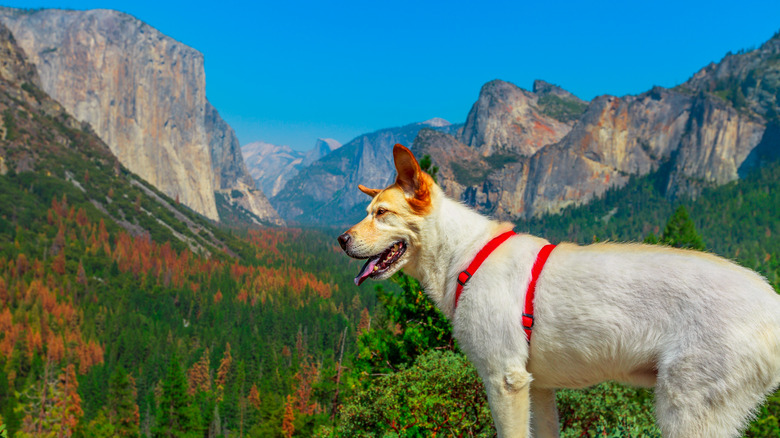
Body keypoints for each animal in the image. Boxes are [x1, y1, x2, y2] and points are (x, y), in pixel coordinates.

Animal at [338, 145, 780, 438]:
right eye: (367, 212)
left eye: (382, 214)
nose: (340, 240)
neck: (464, 254)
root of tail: (770, 300)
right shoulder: (538, 387)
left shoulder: (505, 380)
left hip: (685, 410)